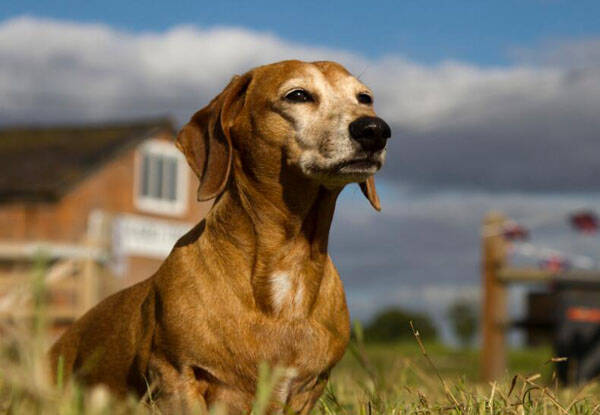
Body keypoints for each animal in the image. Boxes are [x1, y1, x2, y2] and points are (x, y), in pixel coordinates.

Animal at [49, 60, 392, 414]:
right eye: (298, 95)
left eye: (364, 98)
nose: (375, 130)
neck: (289, 261)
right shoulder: (177, 376)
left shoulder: (308, 389)